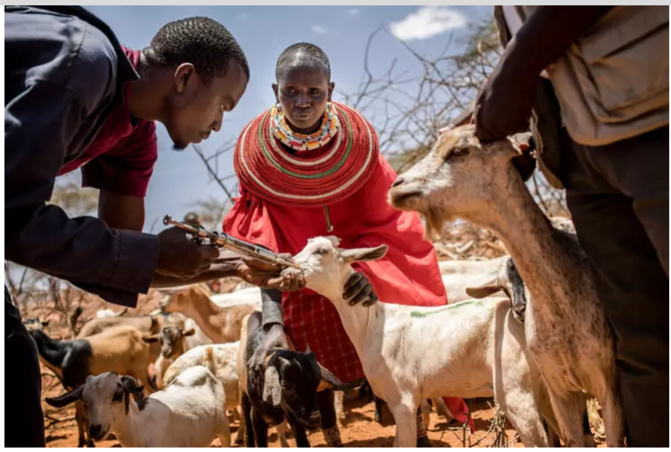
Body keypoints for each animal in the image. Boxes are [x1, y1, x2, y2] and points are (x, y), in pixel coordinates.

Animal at [46, 348, 231, 446]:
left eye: (118, 395)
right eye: (85, 400)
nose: (95, 430)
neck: (140, 426)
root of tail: (202, 369)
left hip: (223, 427)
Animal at [288, 237, 556, 448]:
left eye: (321, 251)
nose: (288, 267)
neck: (373, 324)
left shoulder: (403, 400)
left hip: (516, 393)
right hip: (543, 391)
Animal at [388, 125, 624, 446]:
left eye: (459, 151)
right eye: (503, 287)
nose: (396, 186)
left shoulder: (609, 385)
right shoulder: (559, 390)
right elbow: (573, 440)